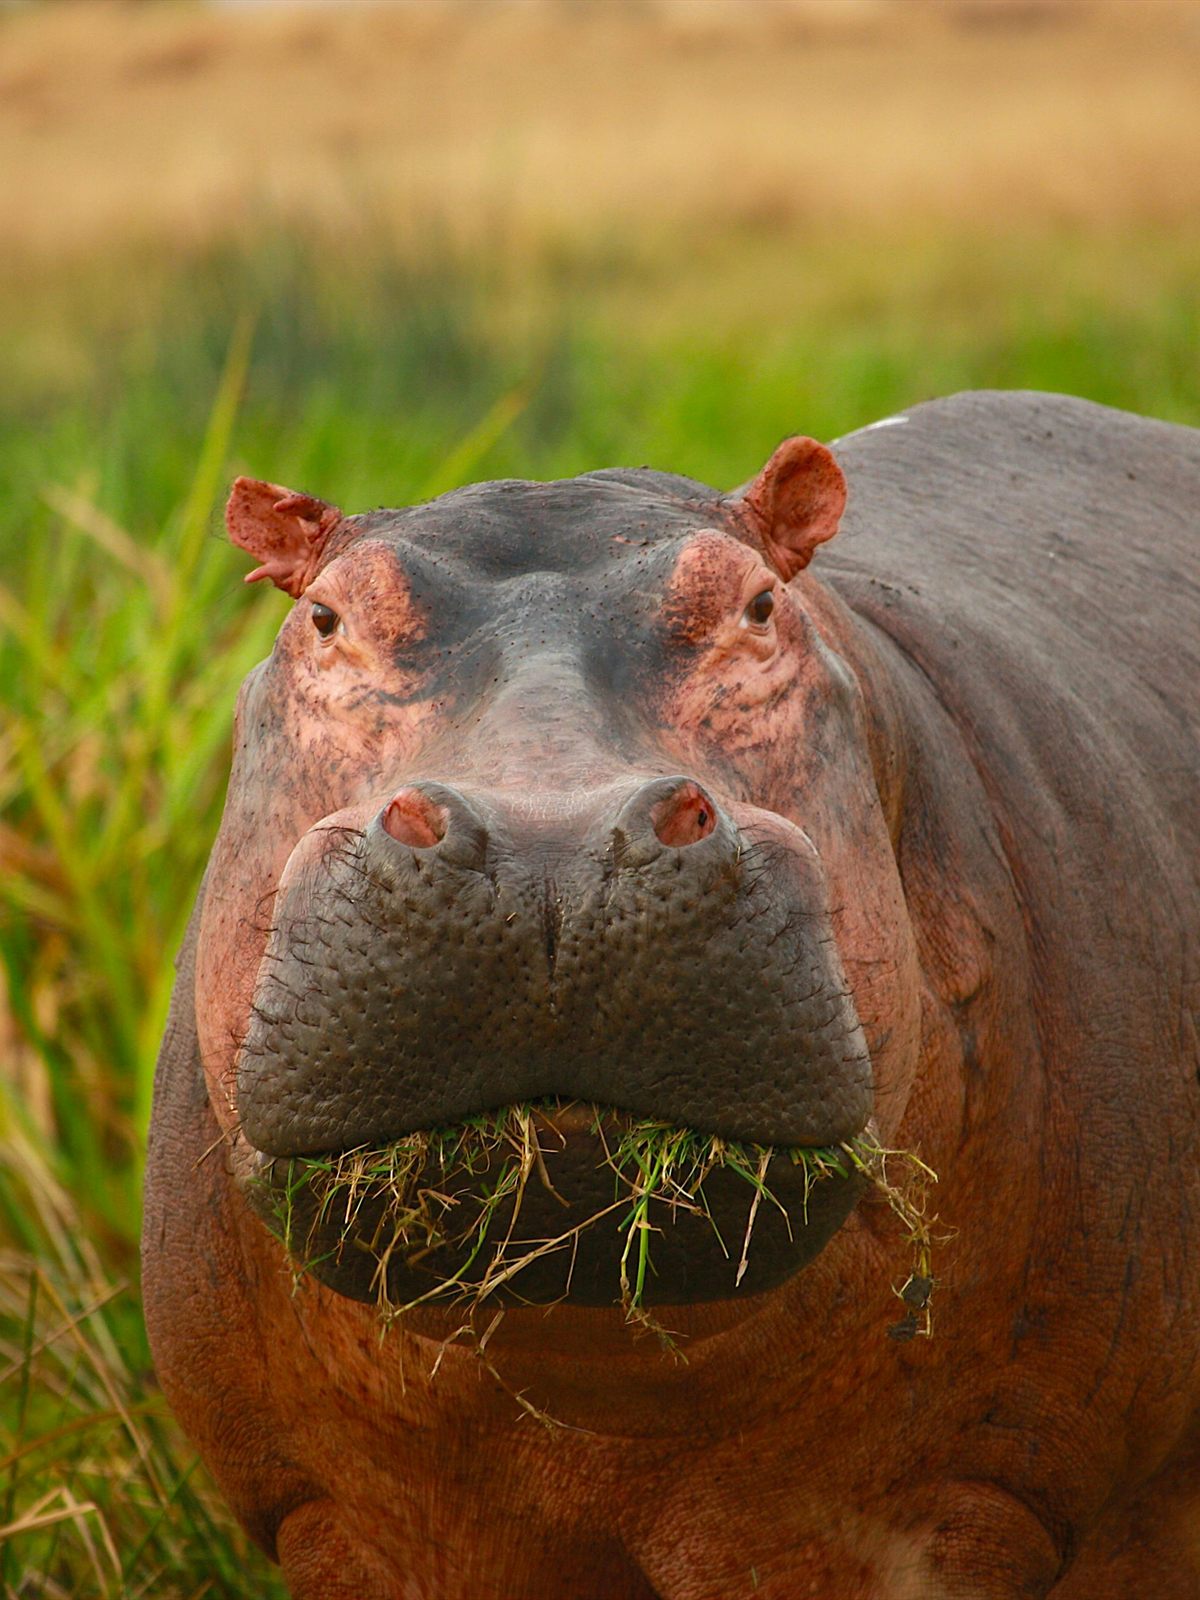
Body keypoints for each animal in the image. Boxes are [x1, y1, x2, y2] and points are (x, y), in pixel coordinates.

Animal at [143, 391, 1200, 1599]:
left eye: (760, 605)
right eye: (322, 618)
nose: (547, 848)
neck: (587, 1387)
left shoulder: (953, 1509)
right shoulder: (339, 1521)